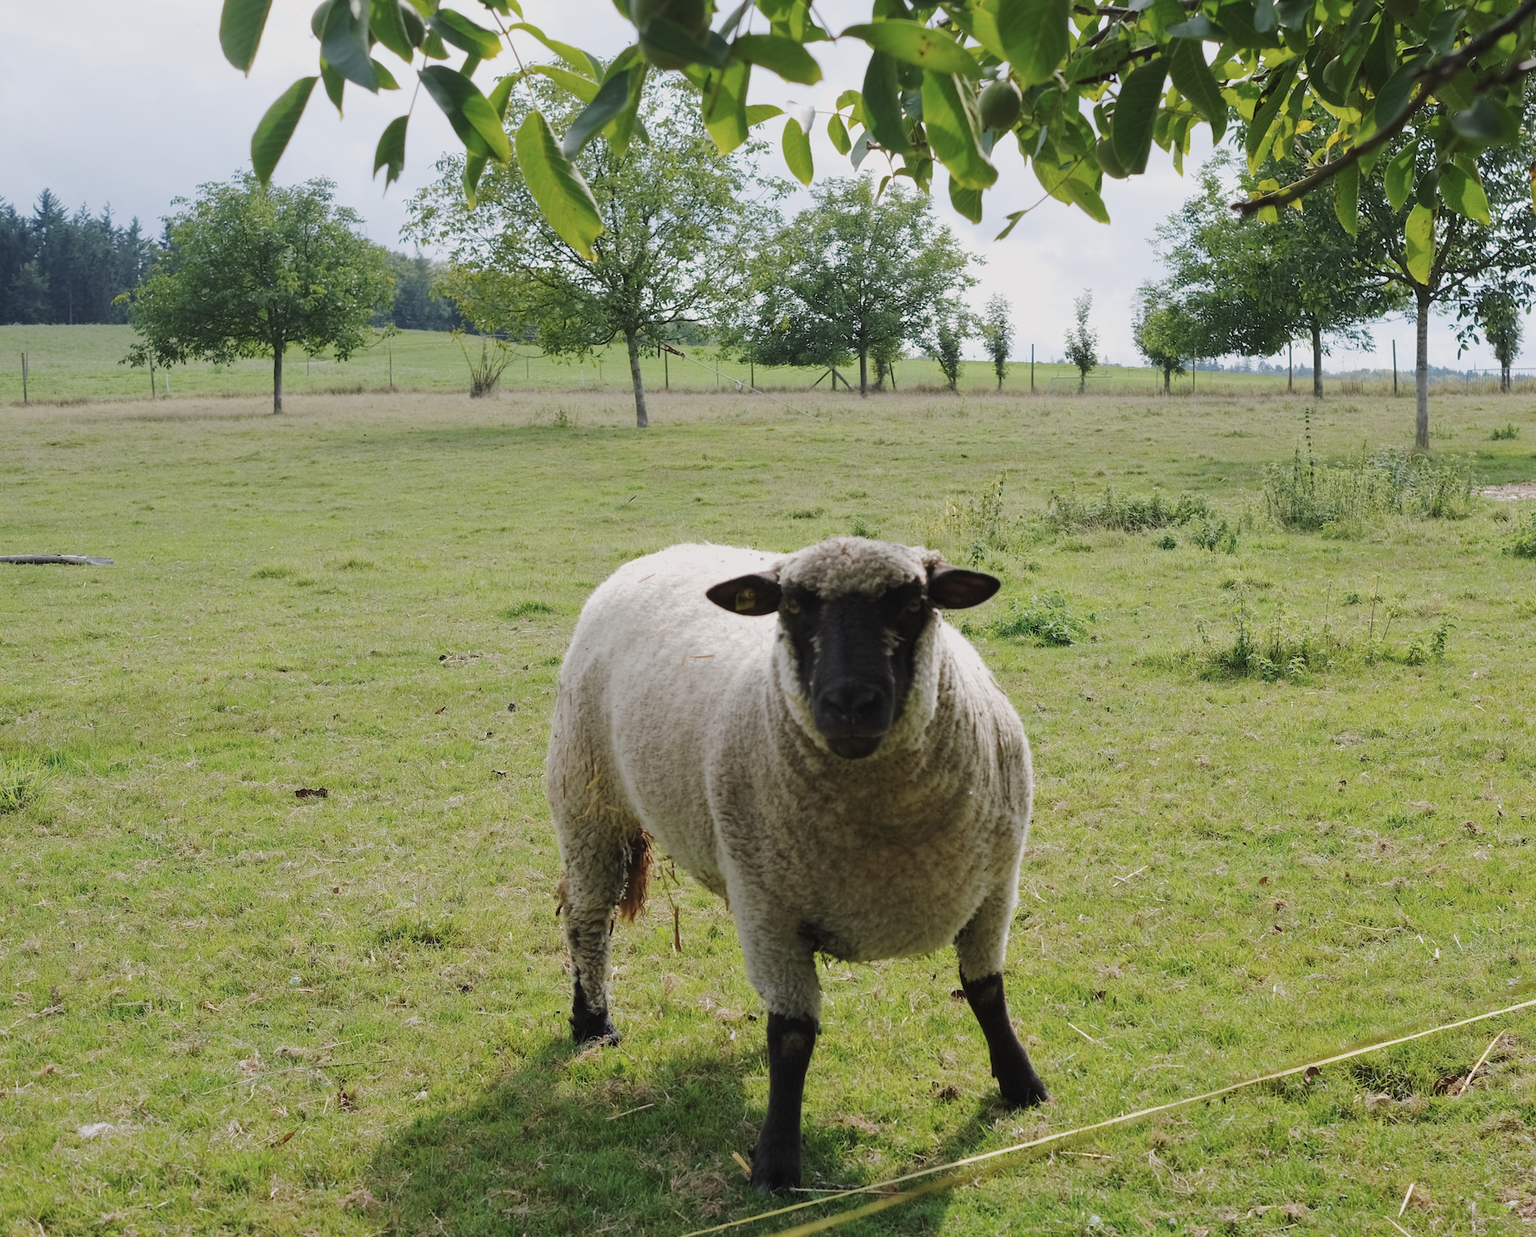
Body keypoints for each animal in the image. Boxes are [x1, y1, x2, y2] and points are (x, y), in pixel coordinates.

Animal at [546, 534, 1050, 1192]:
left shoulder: (994, 891)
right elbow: (790, 1038)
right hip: (587, 799)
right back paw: (593, 1022)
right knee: (587, 921)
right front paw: (777, 1160)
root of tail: (667, 549)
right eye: (793, 607)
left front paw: (1022, 1084)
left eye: (912, 603)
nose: (850, 702)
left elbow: (987, 992)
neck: (886, 833)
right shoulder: (771, 914)